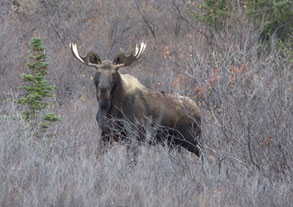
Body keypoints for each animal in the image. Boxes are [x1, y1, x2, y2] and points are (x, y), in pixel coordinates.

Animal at [69, 41, 201, 158]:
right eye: (97, 71)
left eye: (114, 72)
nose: (103, 90)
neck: (109, 109)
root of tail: (197, 110)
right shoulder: (106, 134)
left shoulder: (134, 135)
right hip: (172, 143)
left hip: (192, 138)